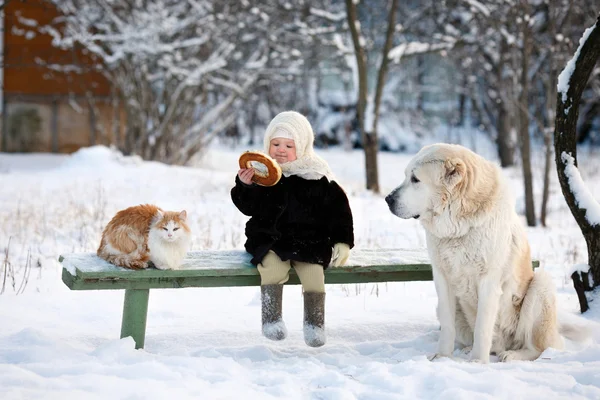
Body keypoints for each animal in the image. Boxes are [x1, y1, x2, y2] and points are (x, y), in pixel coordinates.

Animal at [384, 144, 568, 362]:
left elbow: (482, 327)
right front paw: (442, 357)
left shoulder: (488, 282)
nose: (387, 199)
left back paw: (511, 355)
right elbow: (447, 325)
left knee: (537, 348)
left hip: (541, 286)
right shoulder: (442, 279)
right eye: (406, 176)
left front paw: (478, 362)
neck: (459, 227)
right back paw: (467, 350)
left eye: (415, 179)